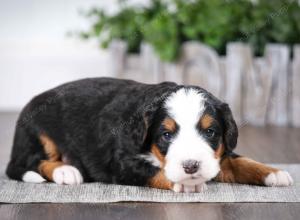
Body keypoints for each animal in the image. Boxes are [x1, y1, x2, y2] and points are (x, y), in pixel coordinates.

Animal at [6, 78, 292, 192]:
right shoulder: (120, 161)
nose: (191, 166)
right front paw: (184, 183)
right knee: (31, 161)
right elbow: (155, 171)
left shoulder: (217, 156)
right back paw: (66, 171)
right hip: (38, 133)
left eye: (210, 131)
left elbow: (237, 161)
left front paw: (273, 172)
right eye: (166, 135)